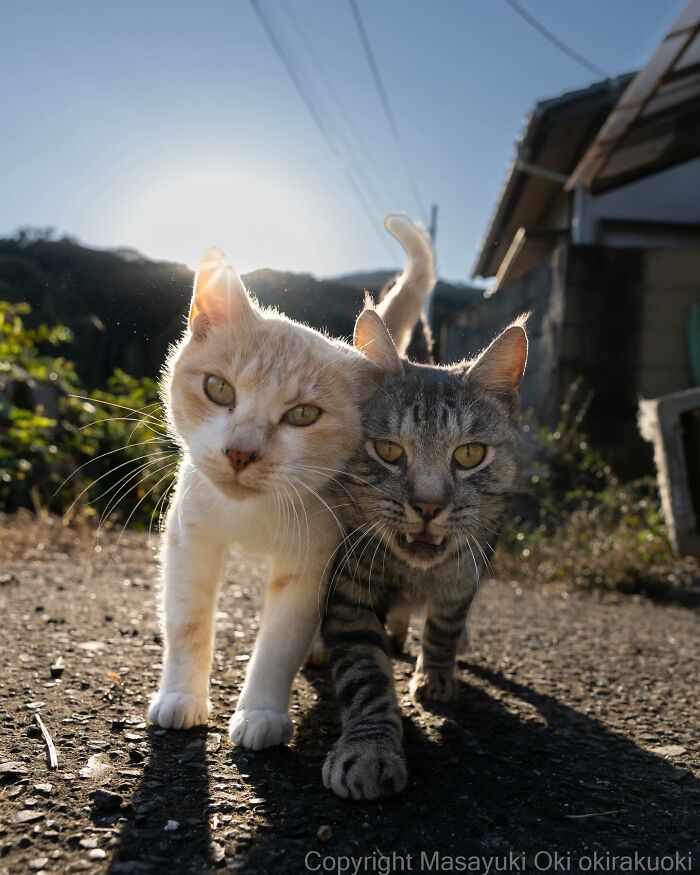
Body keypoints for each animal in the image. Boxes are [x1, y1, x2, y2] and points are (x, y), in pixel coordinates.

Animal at [146, 212, 432, 744]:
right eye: (218, 389)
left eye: (302, 414)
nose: (241, 451)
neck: (254, 511)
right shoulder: (189, 539)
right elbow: (188, 624)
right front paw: (181, 697)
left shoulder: (310, 558)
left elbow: (281, 641)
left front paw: (262, 714)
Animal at [322, 308, 524, 800]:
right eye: (388, 450)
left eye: (470, 455)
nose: (428, 506)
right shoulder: (348, 593)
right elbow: (365, 674)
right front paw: (370, 750)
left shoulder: (465, 573)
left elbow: (444, 627)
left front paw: (435, 673)